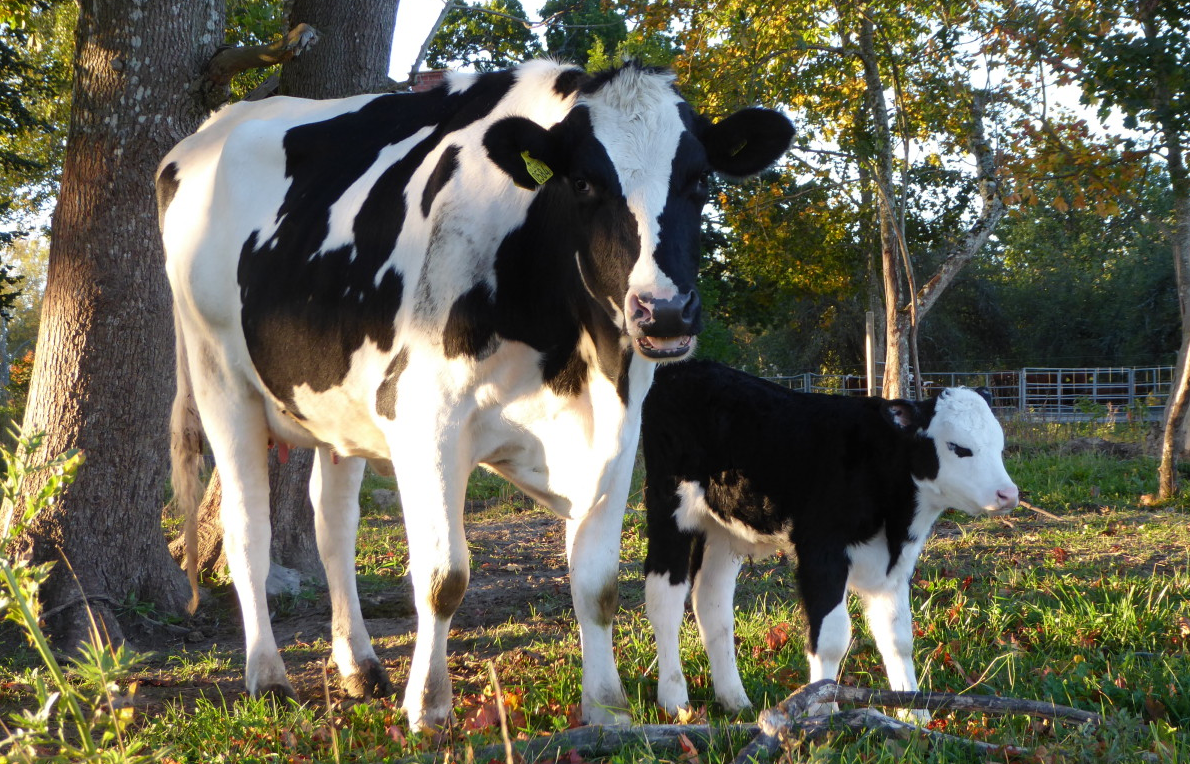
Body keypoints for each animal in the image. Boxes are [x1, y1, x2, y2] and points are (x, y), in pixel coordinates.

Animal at [155, 59, 790, 723]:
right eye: (584, 182)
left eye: (699, 180)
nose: (663, 312)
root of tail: (208, 130)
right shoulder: (424, 418)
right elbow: (443, 578)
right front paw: (429, 707)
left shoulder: (618, 427)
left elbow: (598, 583)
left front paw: (606, 706)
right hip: (220, 379)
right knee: (246, 530)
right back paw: (267, 675)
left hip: (337, 406)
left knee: (333, 527)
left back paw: (359, 665)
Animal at [637, 357, 1018, 714]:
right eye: (958, 447)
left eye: (999, 444)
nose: (1008, 494)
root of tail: (686, 367)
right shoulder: (821, 552)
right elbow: (832, 637)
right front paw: (821, 709)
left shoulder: (894, 565)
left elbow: (898, 638)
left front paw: (914, 713)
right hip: (669, 507)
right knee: (664, 598)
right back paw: (674, 698)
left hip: (723, 529)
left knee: (711, 602)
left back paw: (734, 699)